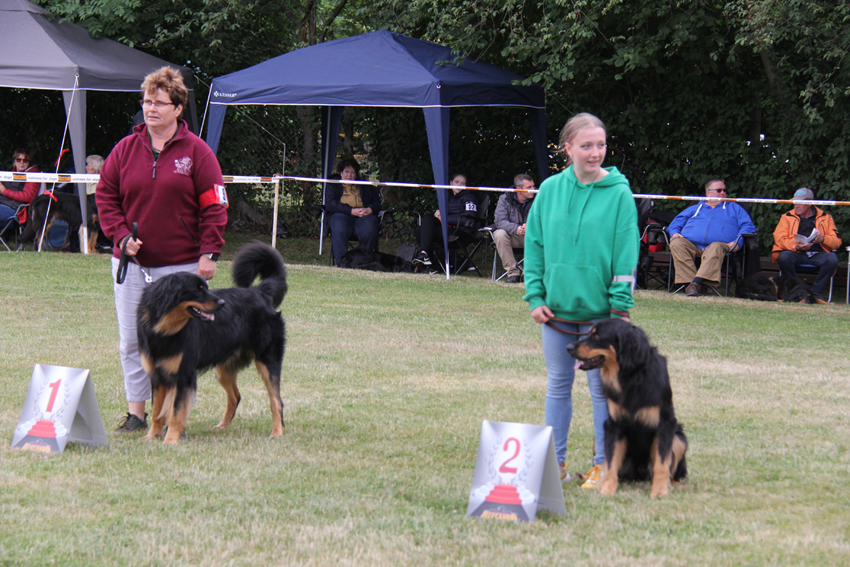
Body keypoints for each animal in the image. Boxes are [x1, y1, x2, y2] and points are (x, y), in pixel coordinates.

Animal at [568, 322, 684, 500]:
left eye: (596, 336)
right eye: (589, 333)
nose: (568, 347)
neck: (631, 376)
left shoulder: (666, 424)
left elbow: (661, 463)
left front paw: (659, 491)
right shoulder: (613, 425)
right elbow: (611, 462)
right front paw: (607, 489)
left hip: (679, 439)